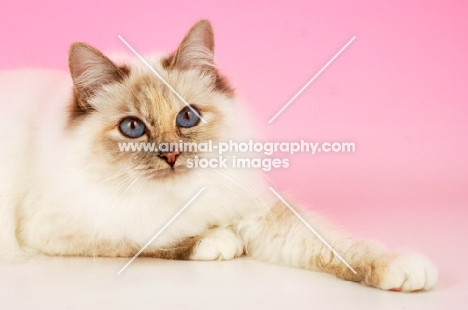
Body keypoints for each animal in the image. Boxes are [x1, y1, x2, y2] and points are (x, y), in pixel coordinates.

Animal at [0, 20, 438, 294]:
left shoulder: (257, 214)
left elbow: (338, 245)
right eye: (132, 128)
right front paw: (218, 241)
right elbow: (152, 237)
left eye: (187, 117)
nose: (171, 155)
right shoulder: (62, 230)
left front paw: (402, 269)